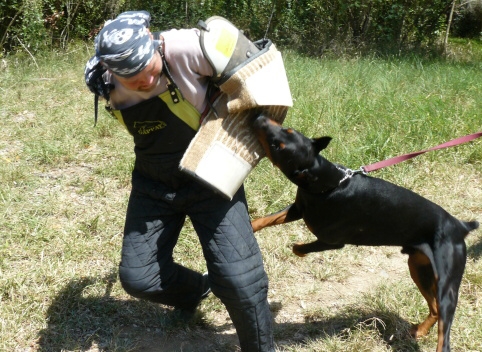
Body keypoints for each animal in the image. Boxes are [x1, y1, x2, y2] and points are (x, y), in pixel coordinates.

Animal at [252, 114, 478, 350]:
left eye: (278, 145)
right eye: (288, 129)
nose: (258, 117)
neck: (329, 182)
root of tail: (460, 226)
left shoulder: (331, 241)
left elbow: (298, 248)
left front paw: (299, 251)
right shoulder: (298, 209)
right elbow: (265, 219)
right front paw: (251, 225)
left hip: (446, 285)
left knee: (444, 329)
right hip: (418, 267)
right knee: (434, 310)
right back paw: (419, 331)